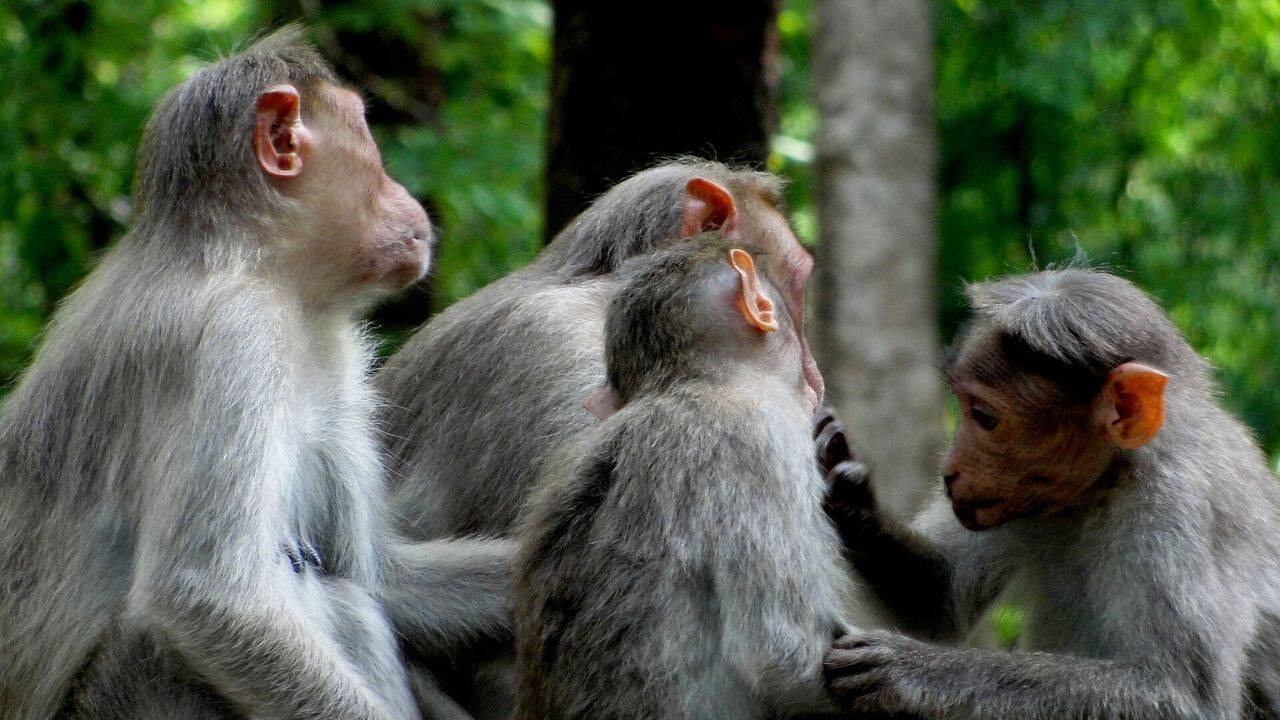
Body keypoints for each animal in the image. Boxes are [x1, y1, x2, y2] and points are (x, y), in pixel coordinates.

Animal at [0, 28, 511, 720]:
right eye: (372, 144)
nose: (406, 194)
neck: (252, 261)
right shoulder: (236, 341)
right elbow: (207, 592)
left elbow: (382, 579)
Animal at [818, 268, 1280, 719]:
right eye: (962, 405)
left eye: (983, 417)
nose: (948, 471)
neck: (1107, 484)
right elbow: (940, 600)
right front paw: (847, 487)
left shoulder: (1177, 507)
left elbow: (1182, 698)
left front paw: (914, 669)